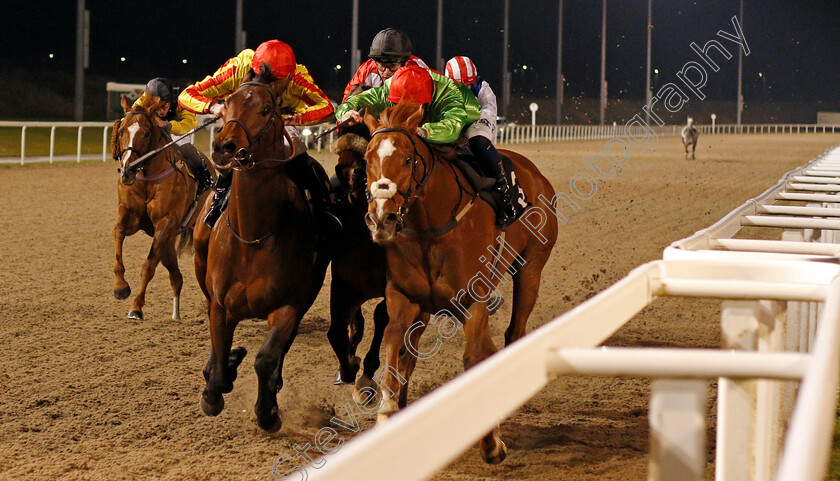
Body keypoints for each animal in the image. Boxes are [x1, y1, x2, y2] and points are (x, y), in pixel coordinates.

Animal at [111, 93, 212, 318]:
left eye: (146, 133)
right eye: (121, 131)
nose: (126, 170)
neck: (148, 177)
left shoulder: (165, 223)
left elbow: (148, 265)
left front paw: (136, 307)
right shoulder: (131, 215)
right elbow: (118, 231)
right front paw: (121, 287)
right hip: (168, 243)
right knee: (176, 277)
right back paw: (176, 315)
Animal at [192, 68, 334, 432]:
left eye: (266, 110)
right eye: (227, 104)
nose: (225, 147)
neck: (253, 237)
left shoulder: (290, 304)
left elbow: (266, 358)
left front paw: (267, 411)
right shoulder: (221, 304)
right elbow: (219, 349)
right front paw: (216, 384)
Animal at [360, 102, 556, 464]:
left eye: (407, 159)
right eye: (367, 159)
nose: (382, 218)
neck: (431, 225)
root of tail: (536, 175)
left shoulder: (474, 300)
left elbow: (473, 356)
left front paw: (491, 442)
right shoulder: (404, 297)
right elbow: (394, 344)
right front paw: (387, 413)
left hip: (531, 268)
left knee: (514, 333)